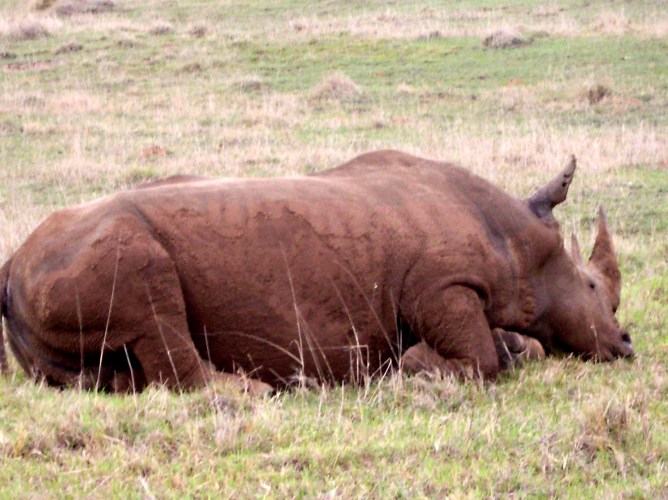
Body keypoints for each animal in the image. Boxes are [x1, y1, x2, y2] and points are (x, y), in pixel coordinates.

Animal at [0, 150, 632, 393]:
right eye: (592, 287)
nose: (625, 343)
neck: (516, 240)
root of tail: (9, 269)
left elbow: (512, 348)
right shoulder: (439, 285)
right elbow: (483, 357)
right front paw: (412, 366)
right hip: (105, 247)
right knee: (150, 298)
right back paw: (260, 391)